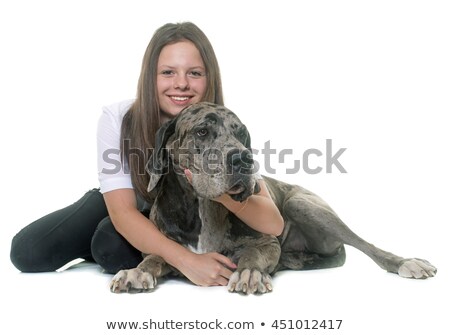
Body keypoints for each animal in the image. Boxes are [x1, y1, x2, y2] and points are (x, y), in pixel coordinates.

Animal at [110, 101, 436, 294]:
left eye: (241, 134)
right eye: (202, 131)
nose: (243, 157)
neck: (203, 208)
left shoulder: (267, 242)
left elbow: (252, 254)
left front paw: (250, 273)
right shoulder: (165, 244)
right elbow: (155, 256)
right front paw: (135, 272)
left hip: (299, 203)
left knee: (368, 246)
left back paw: (406, 262)